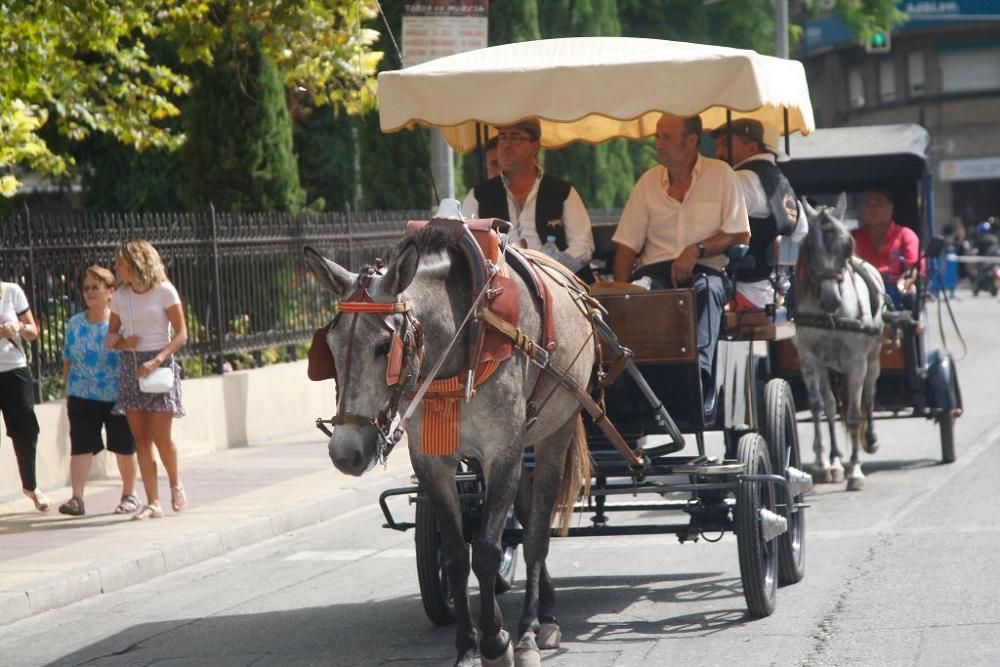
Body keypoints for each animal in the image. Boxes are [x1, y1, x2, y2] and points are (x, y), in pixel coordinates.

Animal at [304, 226, 592, 667]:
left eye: (384, 348)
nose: (345, 452)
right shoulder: (432, 462)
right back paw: (544, 608)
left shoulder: (502, 451)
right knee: (526, 518)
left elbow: (488, 550)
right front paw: (469, 644)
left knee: (537, 534)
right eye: (330, 348)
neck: (462, 336)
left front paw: (497, 642)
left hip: (554, 431)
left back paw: (533, 628)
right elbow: (457, 554)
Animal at [796, 193, 884, 490]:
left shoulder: (856, 362)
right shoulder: (810, 360)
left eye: (847, 245)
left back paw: (870, 441)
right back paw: (835, 462)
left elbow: (855, 414)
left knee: (868, 396)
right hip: (828, 367)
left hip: (873, 358)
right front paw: (824, 464)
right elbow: (818, 406)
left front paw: (855, 471)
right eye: (809, 247)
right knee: (832, 405)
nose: (831, 300)